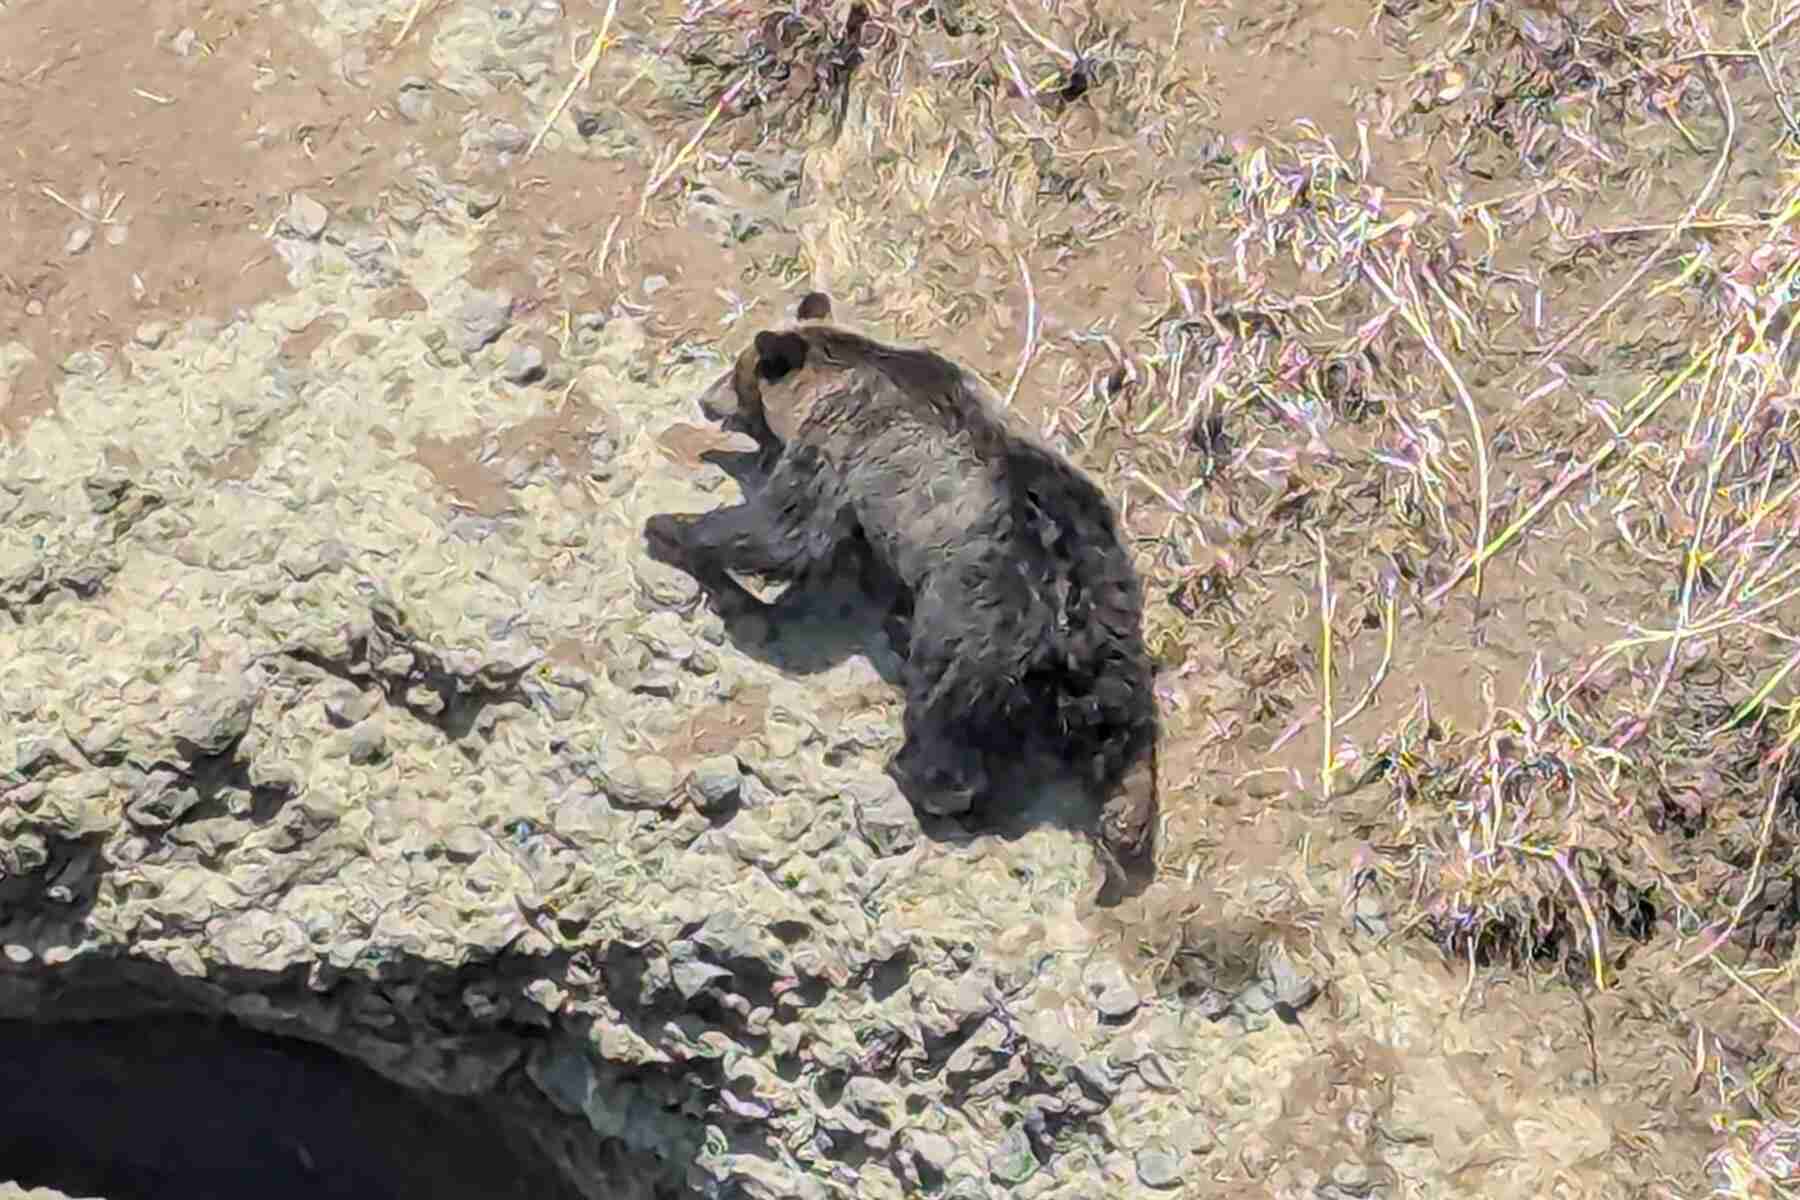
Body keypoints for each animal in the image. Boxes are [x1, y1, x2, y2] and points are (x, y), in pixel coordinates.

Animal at [645, 293, 1161, 894]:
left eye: (737, 370)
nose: (707, 400)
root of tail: (1066, 608)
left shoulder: (841, 447)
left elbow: (785, 530)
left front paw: (669, 527)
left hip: (972, 623)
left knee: (942, 711)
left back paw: (916, 773)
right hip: (1116, 621)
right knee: (1126, 723)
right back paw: (1127, 818)